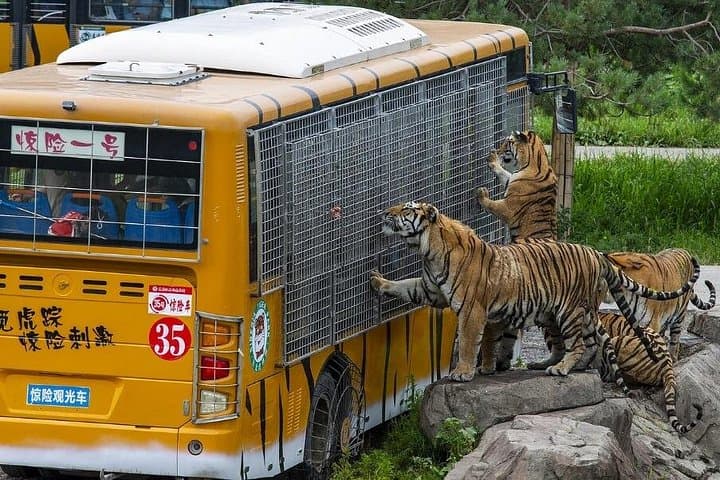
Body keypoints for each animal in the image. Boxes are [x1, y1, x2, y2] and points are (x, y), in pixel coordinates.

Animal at [369, 201, 700, 382]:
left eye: (407, 209)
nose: (384, 212)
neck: (427, 249)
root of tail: (596, 253)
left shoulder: (472, 309)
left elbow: (469, 343)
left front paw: (463, 372)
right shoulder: (431, 289)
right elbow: (406, 287)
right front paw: (377, 281)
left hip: (568, 311)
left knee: (578, 344)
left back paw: (561, 369)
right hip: (571, 313)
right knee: (588, 344)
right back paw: (560, 366)